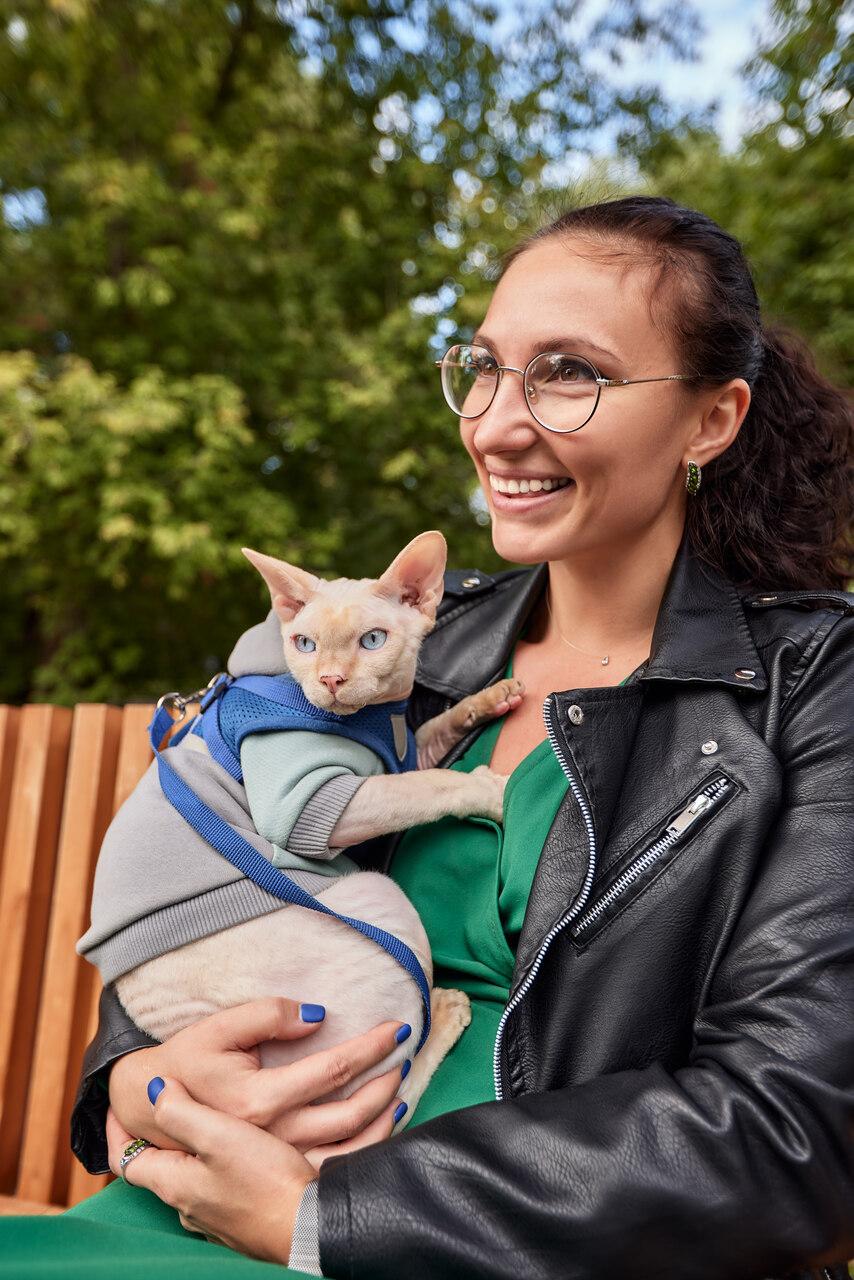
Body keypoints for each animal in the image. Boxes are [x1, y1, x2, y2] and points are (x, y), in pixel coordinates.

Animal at [104, 529, 524, 1121]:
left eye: (373, 640)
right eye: (304, 644)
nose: (330, 680)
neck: (375, 718)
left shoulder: (398, 755)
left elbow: (432, 738)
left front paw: (489, 698)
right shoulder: (310, 805)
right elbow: (429, 786)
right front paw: (493, 790)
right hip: (381, 900)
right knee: (386, 1093)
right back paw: (446, 1013)